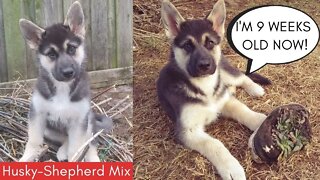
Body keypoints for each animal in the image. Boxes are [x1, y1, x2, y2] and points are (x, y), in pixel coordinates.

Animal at [18, 1, 112, 162]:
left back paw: (92, 158)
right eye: (51, 54)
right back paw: (62, 150)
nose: (68, 73)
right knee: (65, 138)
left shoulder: (79, 121)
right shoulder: (37, 115)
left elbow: (76, 149)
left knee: (90, 143)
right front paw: (26, 158)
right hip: (49, 129)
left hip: (88, 122)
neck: (62, 88)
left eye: (72, 49)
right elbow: (34, 141)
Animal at [158, 0, 270, 179]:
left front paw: (262, 120)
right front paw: (231, 168)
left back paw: (254, 88)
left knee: (241, 77)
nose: (204, 65)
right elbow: (214, 144)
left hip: (223, 71)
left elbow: (243, 110)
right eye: (187, 45)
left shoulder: (224, 101)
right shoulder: (188, 131)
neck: (204, 87)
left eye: (210, 42)